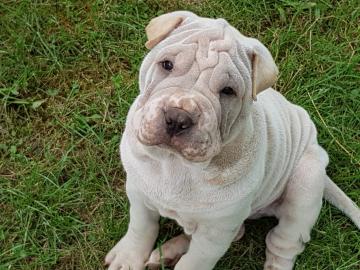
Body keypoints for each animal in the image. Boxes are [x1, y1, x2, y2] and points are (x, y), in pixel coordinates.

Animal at [105, 11, 360, 270]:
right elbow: (141, 226)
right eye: (167, 64)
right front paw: (128, 257)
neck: (175, 163)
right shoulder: (139, 190)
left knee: (284, 242)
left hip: (305, 184)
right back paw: (166, 253)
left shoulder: (216, 231)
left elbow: (195, 261)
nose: (178, 118)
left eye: (228, 91)